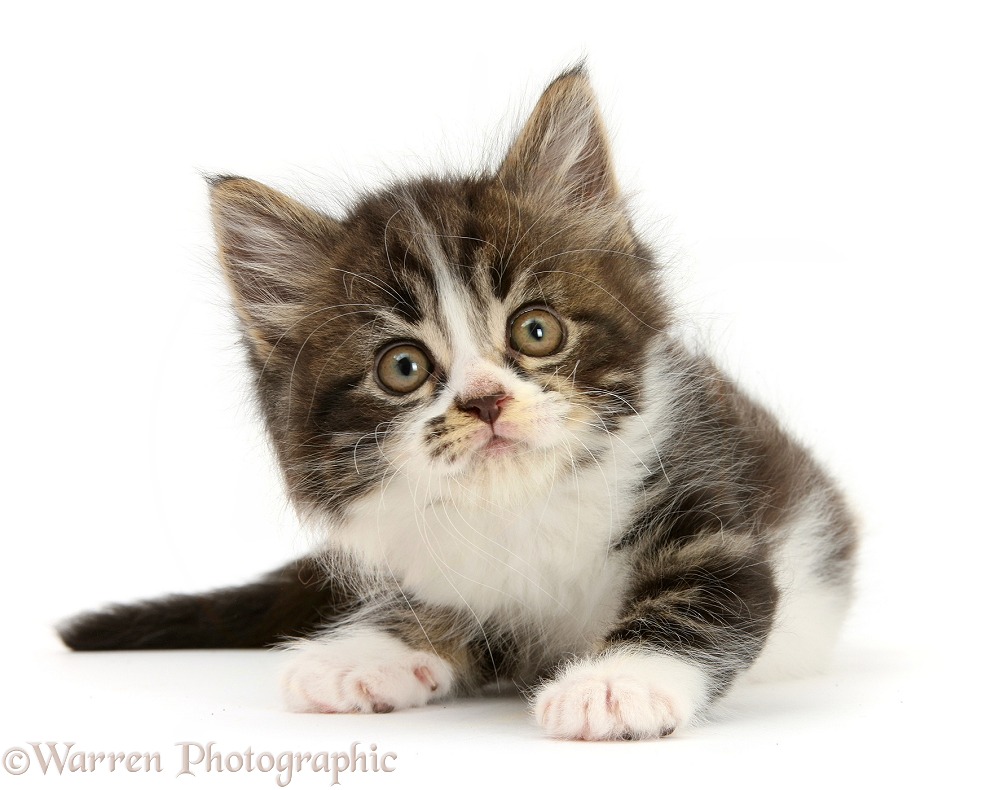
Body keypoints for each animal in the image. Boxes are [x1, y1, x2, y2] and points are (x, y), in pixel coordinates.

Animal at [60, 68, 856, 744]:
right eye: (403, 367)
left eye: (536, 330)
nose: (484, 401)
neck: (522, 508)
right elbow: (444, 612)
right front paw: (365, 653)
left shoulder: (710, 506)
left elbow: (705, 597)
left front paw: (615, 683)